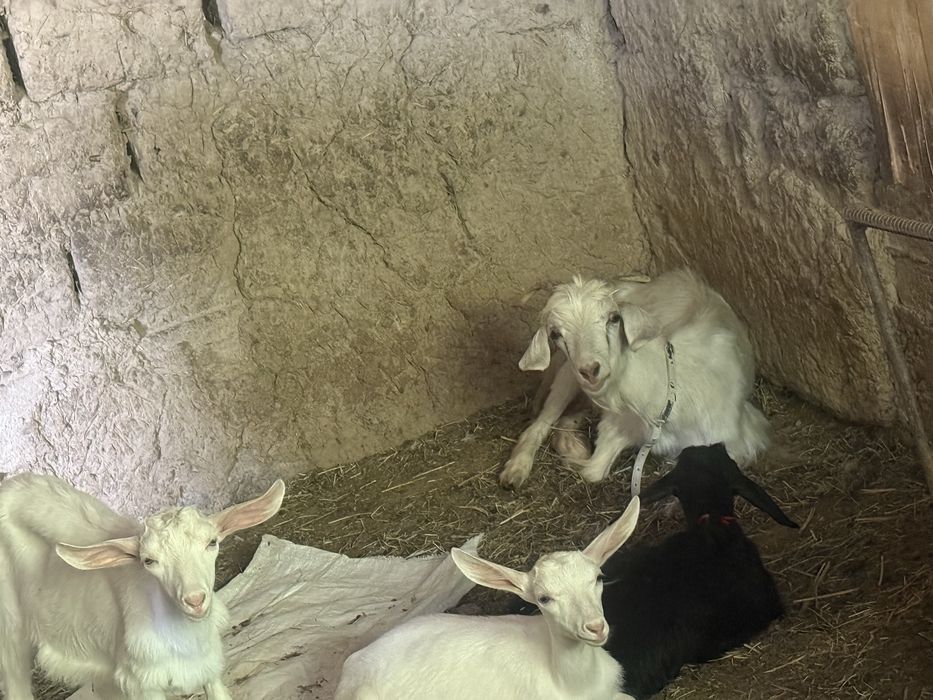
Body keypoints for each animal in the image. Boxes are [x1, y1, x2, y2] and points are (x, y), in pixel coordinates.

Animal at [0, 473, 285, 700]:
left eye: (212, 542)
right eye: (149, 561)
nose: (195, 600)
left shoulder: (209, 665)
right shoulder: (142, 683)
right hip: (10, 625)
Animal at [500, 269, 769, 488]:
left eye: (613, 318)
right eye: (555, 333)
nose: (590, 370)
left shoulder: (739, 437)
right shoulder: (617, 425)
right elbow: (592, 471)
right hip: (568, 375)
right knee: (542, 421)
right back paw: (517, 469)